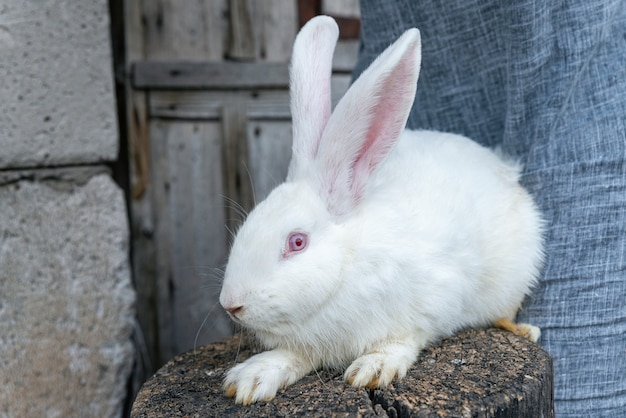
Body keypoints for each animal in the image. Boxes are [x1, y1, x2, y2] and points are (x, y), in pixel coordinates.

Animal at [217, 15, 540, 404]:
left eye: (297, 242)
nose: (230, 303)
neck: (348, 264)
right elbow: (292, 355)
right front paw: (251, 379)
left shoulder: (432, 302)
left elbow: (404, 339)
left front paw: (373, 368)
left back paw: (522, 329)